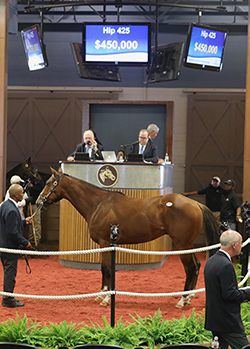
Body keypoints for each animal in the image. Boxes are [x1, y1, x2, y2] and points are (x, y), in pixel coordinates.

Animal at [36, 167, 220, 306]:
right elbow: (103, 269)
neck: (99, 204)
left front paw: (106, 298)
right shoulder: (107, 245)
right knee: (197, 266)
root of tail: (195, 203)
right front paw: (101, 294)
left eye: (48, 183)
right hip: (187, 245)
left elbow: (107, 269)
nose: (38, 202)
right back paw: (189, 298)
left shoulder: (105, 243)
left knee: (190, 268)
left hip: (182, 245)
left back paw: (182, 300)